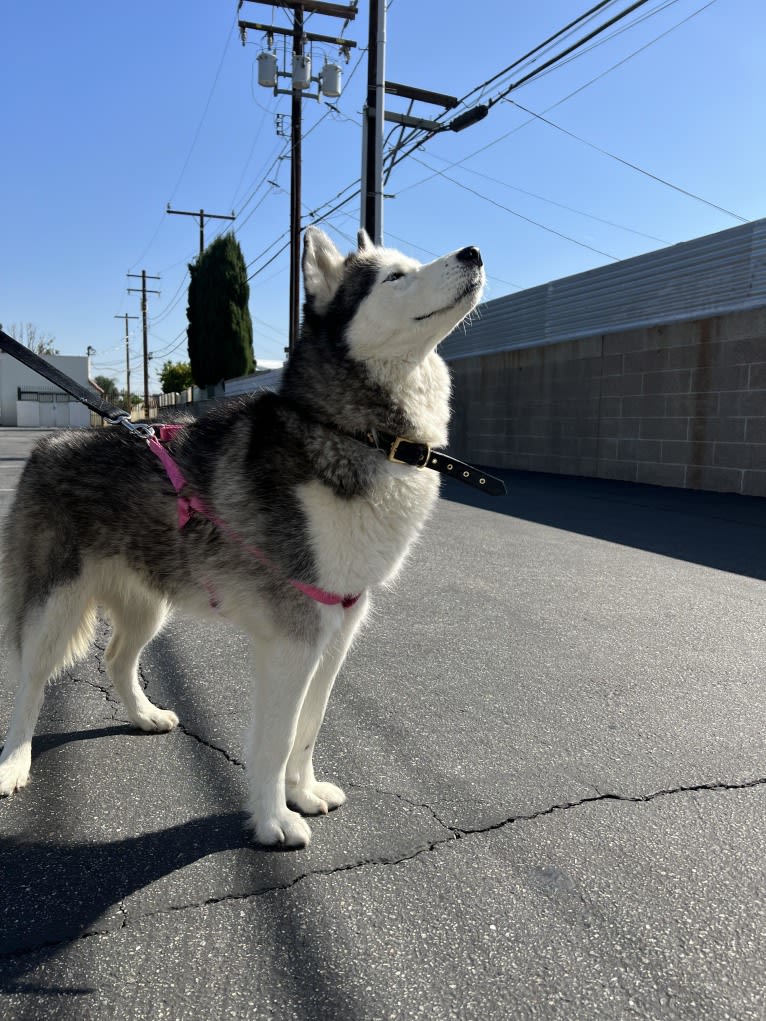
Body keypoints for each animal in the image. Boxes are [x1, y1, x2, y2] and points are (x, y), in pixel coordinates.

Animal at [0, 227, 486, 849]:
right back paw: (15, 760)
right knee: (30, 681)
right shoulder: (295, 637)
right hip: (52, 605)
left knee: (116, 659)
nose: (473, 252)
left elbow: (309, 727)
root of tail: (48, 444)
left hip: (149, 604)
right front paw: (275, 819)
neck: (355, 432)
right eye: (395, 277)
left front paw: (303, 792)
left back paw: (143, 714)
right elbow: (277, 741)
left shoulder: (338, 627)